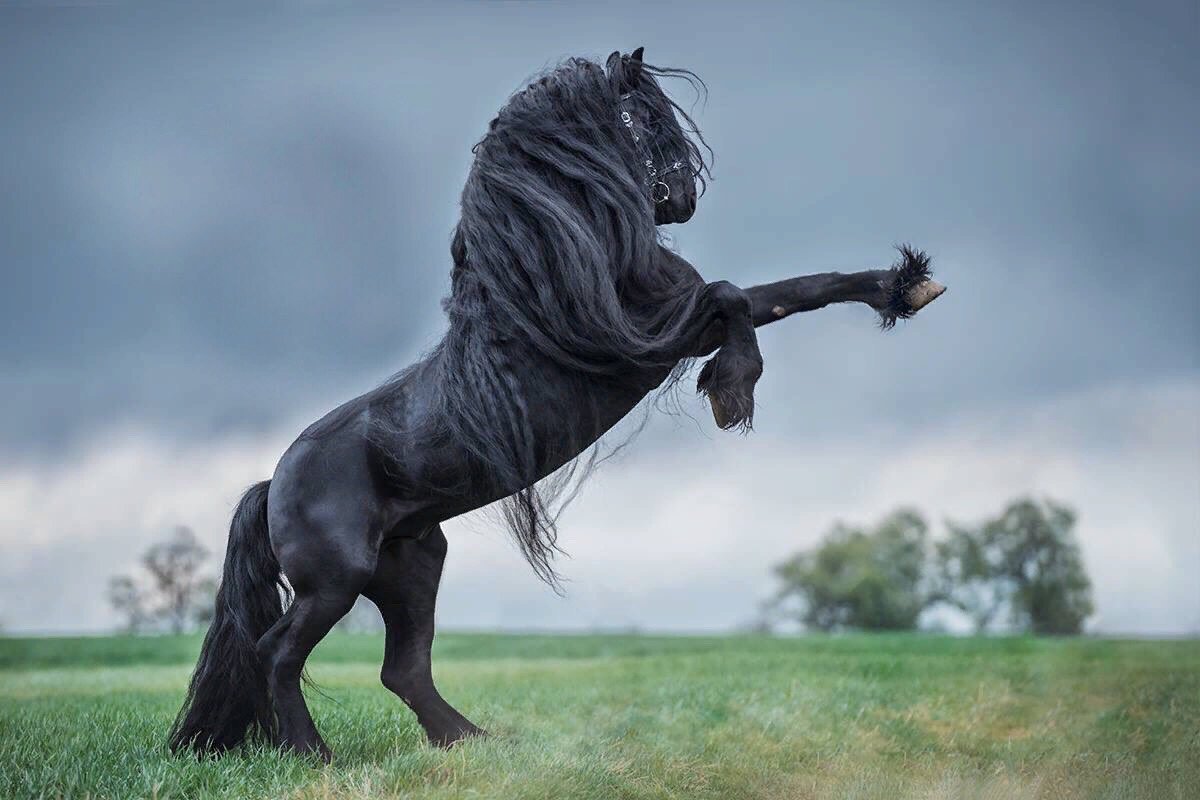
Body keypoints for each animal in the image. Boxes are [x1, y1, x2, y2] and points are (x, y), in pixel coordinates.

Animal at [169, 46, 945, 762]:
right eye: (640, 118)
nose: (681, 196)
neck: (547, 284)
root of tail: (274, 480)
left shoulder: (675, 320)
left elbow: (793, 290)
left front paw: (905, 287)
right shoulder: (656, 338)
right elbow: (737, 298)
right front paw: (732, 392)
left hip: (414, 564)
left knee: (403, 669)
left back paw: (474, 742)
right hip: (337, 580)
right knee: (278, 653)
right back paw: (315, 754)